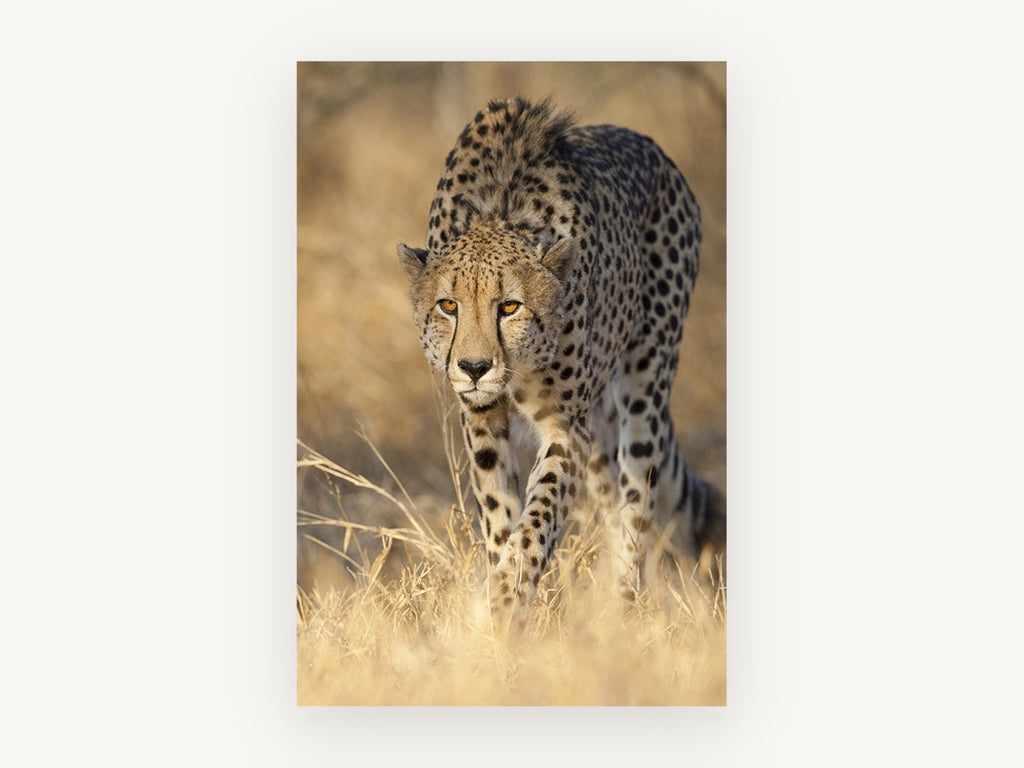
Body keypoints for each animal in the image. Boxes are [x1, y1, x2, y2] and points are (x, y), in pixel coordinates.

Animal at [398, 97, 725, 608]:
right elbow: (499, 512)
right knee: (612, 501)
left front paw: (513, 592)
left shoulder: (568, 426)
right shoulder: (481, 419)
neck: (498, 211)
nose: (473, 368)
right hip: (602, 428)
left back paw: (624, 603)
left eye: (509, 306)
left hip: (645, 383)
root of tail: (651, 147)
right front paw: (501, 594)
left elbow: (540, 514)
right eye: (448, 306)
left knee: (637, 501)